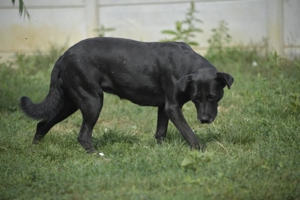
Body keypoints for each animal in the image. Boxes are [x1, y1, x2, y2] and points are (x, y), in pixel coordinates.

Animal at [20, 37, 234, 152]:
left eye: (212, 97)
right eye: (196, 98)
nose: (204, 120)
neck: (187, 66)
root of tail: (64, 55)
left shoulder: (164, 107)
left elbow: (160, 132)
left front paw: (162, 150)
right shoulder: (173, 107)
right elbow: (188, 132)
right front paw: (202, 151)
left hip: (70, 102)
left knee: (42, 124)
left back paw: (34, 150)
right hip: (92, 101)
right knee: (83, 135)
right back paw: (98, 156)